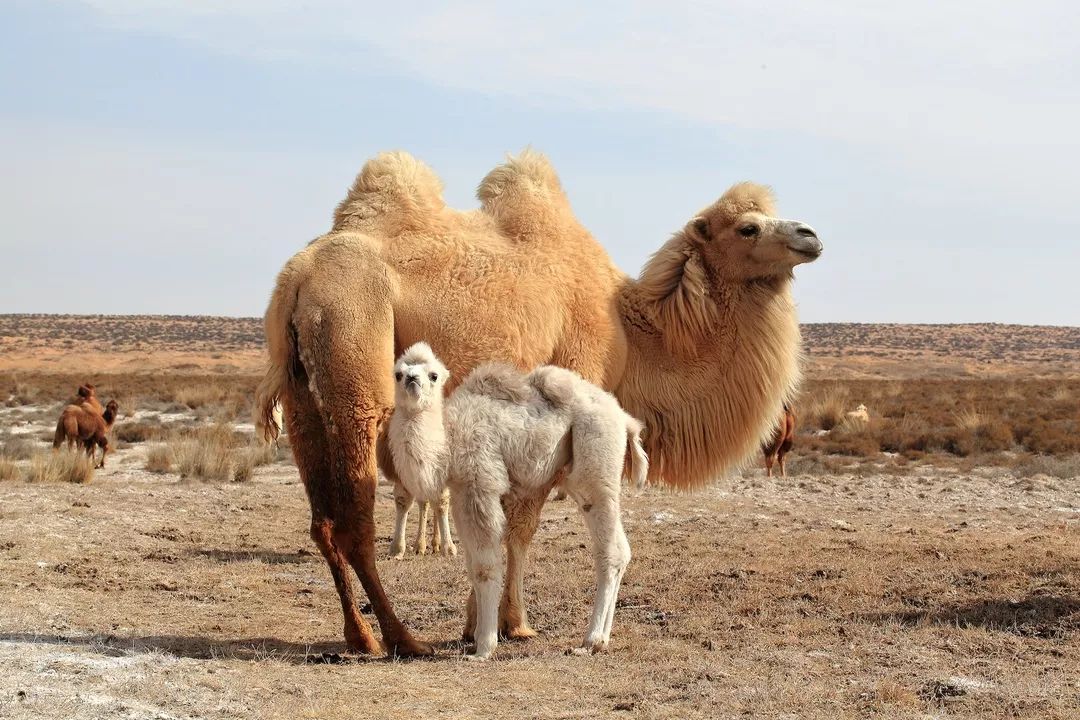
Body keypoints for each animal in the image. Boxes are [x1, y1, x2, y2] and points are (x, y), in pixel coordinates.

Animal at [257, 151, 820, 660]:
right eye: (748, 228)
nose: (810, 236)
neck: (630, 328)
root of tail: (297, 278)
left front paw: (487, 623)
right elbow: (519, 529)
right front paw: (505, 625)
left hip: (302, 396)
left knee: (323, 522)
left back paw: (359, 635)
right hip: (356, 353)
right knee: (354, 519)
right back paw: (398, 638)